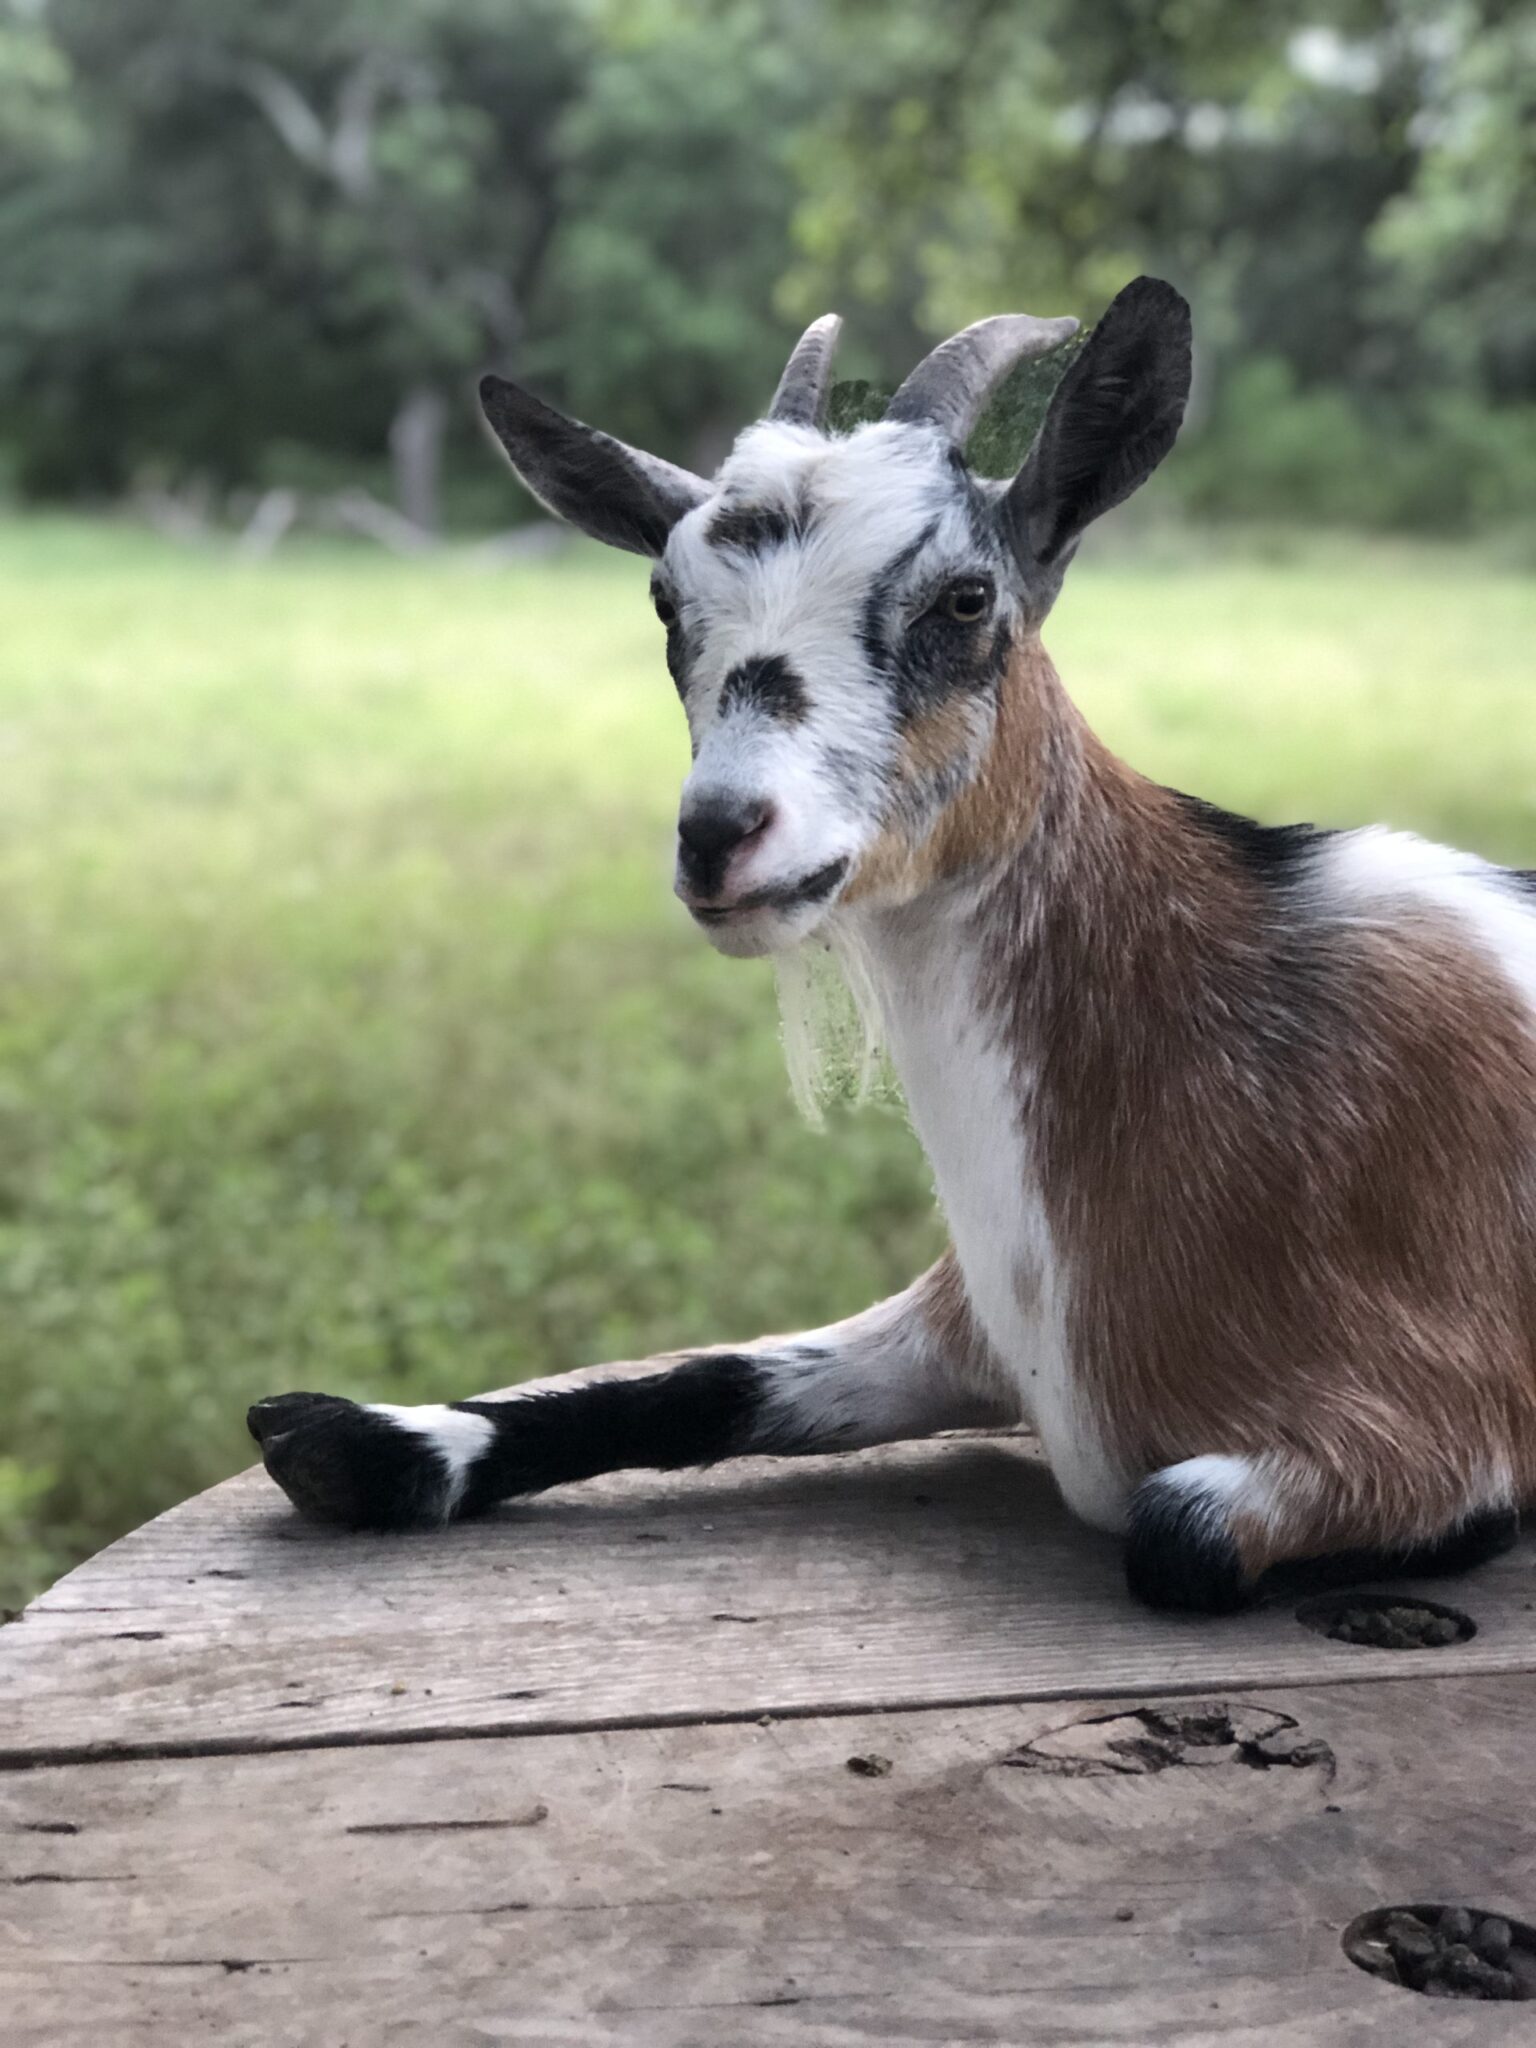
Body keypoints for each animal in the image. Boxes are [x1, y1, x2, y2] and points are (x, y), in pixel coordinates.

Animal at [249, 278, 1536, 1613]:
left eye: (965, 597)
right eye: (666, 601)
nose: (720, 834)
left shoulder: (1428, 1407)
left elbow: (1176, 1529)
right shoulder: (956, 1327)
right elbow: (706, 1381)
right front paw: (362, 1437)